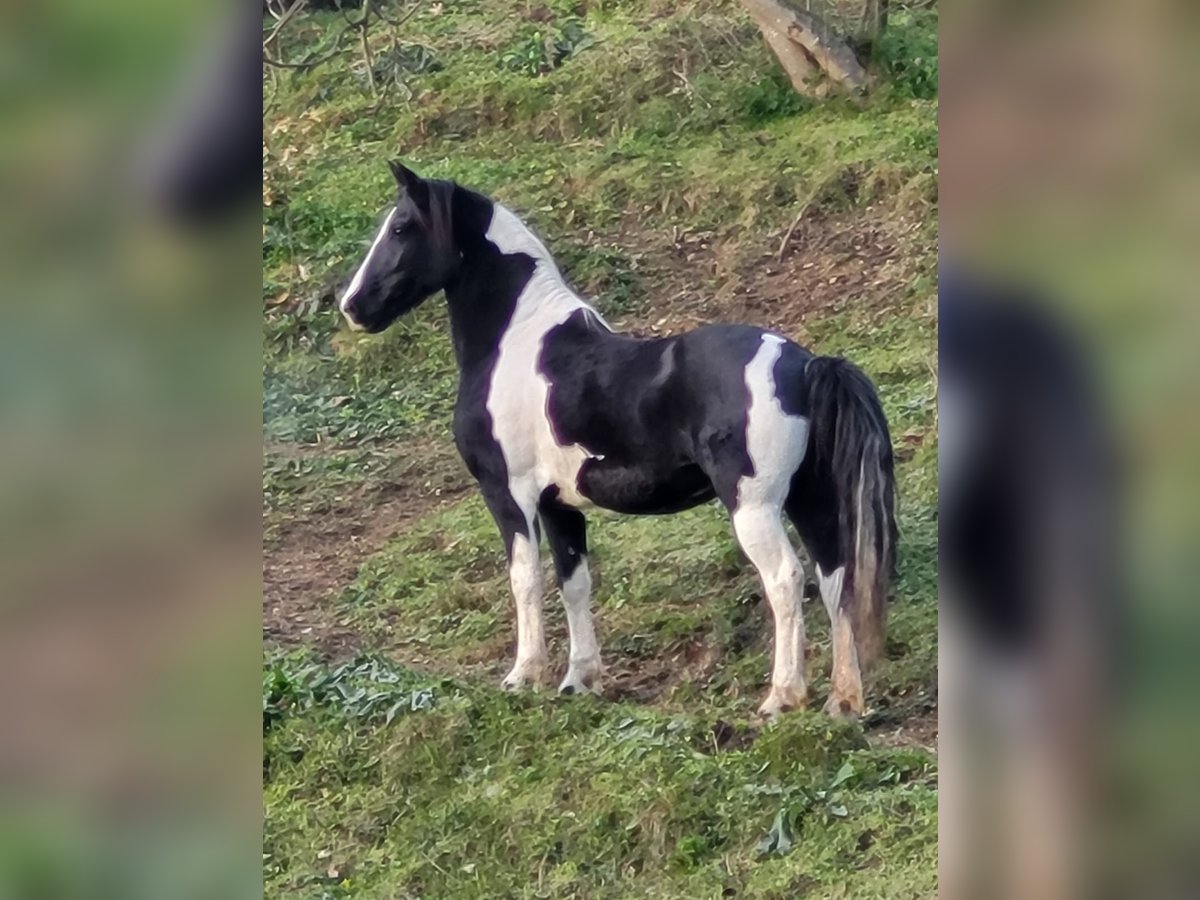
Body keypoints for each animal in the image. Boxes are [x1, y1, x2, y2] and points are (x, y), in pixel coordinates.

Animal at [333, 162, 897, 720]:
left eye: (402, 226)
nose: (352, 306)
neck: (517, 344)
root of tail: (804, 365)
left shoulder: (508, 495)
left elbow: (525, 579)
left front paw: (523, 677)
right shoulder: (559, 506)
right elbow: (573, 583)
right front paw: (579, 680)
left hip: (754, 508)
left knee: (785, 579)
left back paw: (782, 696)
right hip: (809, 501)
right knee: (835, 580)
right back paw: (843, 700)